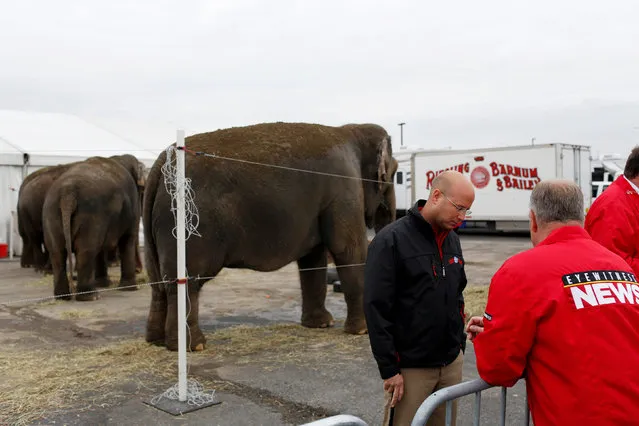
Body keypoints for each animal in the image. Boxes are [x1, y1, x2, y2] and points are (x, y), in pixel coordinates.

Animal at [43, 153, 146, 300]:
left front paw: (104, 284)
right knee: (86, 250)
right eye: (143, 189)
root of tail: (68, 192)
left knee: (57, 252)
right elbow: (128, 239)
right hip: (90, 215)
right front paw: (130, 288)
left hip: (51, 213)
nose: (139, 270)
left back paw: (63, 296)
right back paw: (90, 296)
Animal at [142, 121, 398, 352]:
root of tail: (159, 164)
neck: (351, 131)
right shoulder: (344, 189)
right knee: (186, 283)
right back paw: (194, 347)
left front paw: (320, 325)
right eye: (394, 173)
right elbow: (347, 249)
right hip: (187, 225)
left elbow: (313, 259)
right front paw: (362, 332)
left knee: (159, 284)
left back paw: (157, 342)